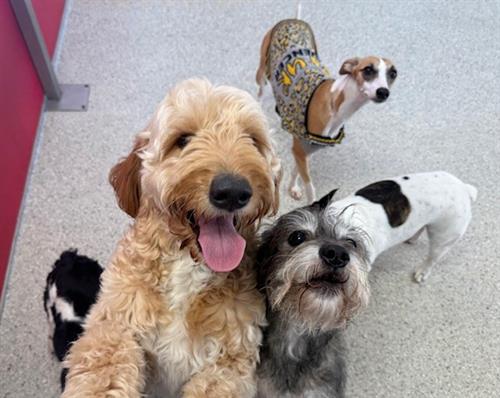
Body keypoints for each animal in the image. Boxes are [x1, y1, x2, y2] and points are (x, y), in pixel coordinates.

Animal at [62, 78, 282, 398]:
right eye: (183, 139)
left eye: (252, 140)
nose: (232, 191)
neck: (187, 268)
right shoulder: (114, 324)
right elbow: (104, 368)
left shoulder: (231, 363)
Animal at [256, 8, 396, 202]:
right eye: (368, 69)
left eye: (393, 73)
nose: (383, 92)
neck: (336, 105)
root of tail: (293, 20)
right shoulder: (300, 150)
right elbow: (311, 189)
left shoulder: (303, 150)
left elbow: (296, 170)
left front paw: (293, 188)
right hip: (262, 74)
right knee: (258, 97)